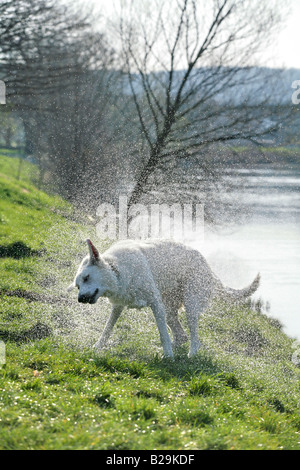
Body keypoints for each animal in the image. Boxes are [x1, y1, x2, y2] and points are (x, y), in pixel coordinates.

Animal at [68, 241, 260, 358]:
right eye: (77, 286)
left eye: (86, 278)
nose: (80, 299)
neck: (117, 269)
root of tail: (209, 268)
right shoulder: (118, 306)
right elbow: (107, 329)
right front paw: (97, 347)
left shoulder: (156, 304)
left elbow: (162, 335)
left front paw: (167, 356)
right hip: (169, 308)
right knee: (181, 335)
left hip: (190, 305)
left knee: (194, 337)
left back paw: (190, 354)